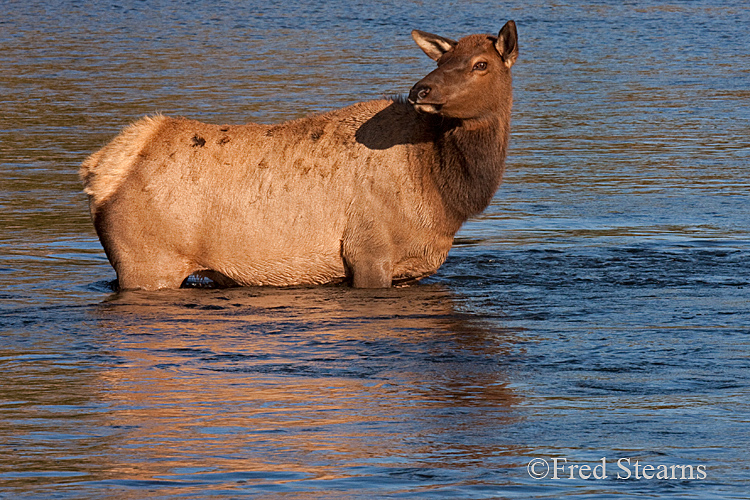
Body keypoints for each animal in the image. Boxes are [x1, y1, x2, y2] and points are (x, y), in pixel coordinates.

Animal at [79, 21, 520, 292]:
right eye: (441, 60)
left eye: (481, 64)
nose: (420, 90)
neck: (442, 193)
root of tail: (100, 171)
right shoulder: (369, 252)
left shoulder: (408, 271)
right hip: (148, 264)